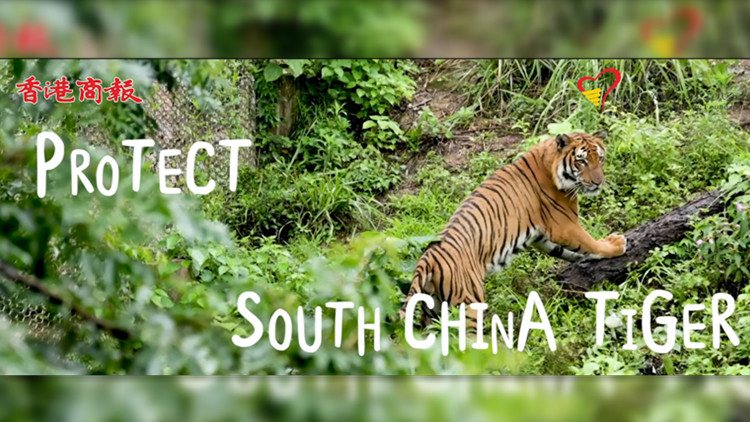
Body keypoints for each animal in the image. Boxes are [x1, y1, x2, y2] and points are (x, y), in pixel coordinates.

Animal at [400, 130, 627, 328]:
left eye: (600, 159)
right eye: (582, 161)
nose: (598, 183)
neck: (551, 163)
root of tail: (428, 259)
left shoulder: (541, 238)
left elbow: (568, 251)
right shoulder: (563, 225)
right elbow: (589, 242)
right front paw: (617, 245)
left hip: (432, 310)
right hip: (469, 303)